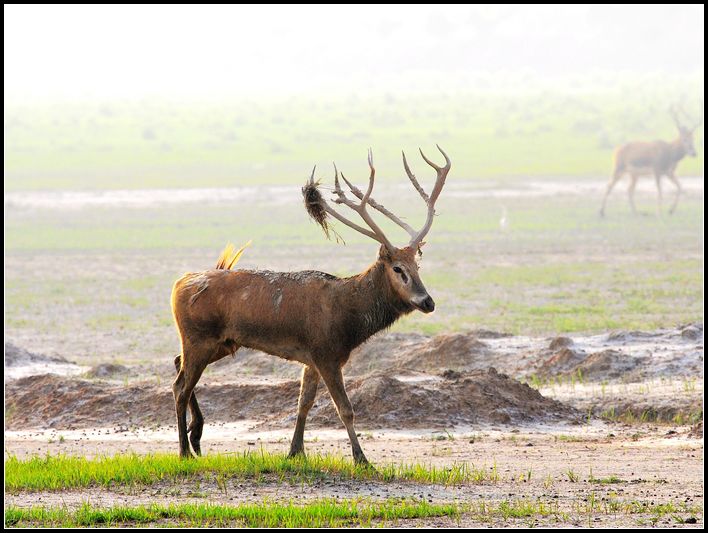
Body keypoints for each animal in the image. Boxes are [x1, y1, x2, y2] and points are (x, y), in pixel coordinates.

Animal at [169, 144, 450, 462]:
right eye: (398, 269)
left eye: (418, 267)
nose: (427, 302)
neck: (349, 320)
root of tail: (178, 284)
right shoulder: (326, 353)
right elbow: (346, 410)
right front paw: (362, 459)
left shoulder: (312, 357)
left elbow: (304, 402)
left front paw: (295, 451)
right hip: (198, 337)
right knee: (180, 386)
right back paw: (184, 449)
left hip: (222, 342)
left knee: (177, 363)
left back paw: (196, 435)